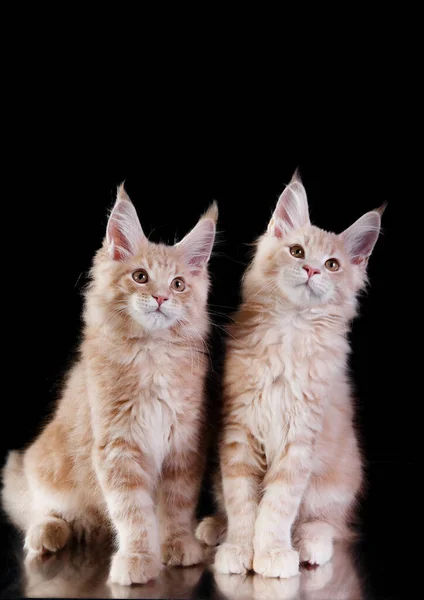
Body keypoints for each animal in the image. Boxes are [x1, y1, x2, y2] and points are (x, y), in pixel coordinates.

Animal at [1, 184, 217, 584]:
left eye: (178, 284)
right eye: (141, 277)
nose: (161, 297)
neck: (152, 355)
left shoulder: (183, 445)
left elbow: (177, 506)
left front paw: (177, 546)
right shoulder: (119, 445)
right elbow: (132, 511)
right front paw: (138, 558)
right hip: (44, 464)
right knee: (37, 507)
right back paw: (49, 531)